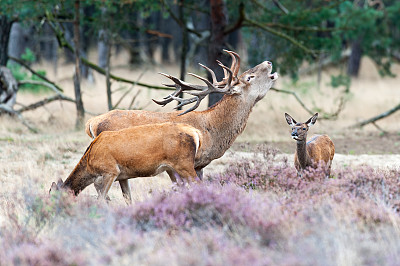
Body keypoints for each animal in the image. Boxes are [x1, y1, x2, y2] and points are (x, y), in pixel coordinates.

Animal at [49, 122, 202, 204]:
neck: (90, 165)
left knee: (200, 184)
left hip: (184, 164)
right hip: (172, 169)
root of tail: (195, 132)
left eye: (54, 197)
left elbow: (101, 199)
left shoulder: (111, 171)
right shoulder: (123, 177)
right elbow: (128, 199)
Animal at [84, 50, 278, 200]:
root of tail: (92, 123)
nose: (268, 62)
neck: (211, 130)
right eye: (249, 77)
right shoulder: (179, 163)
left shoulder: (199, 165)